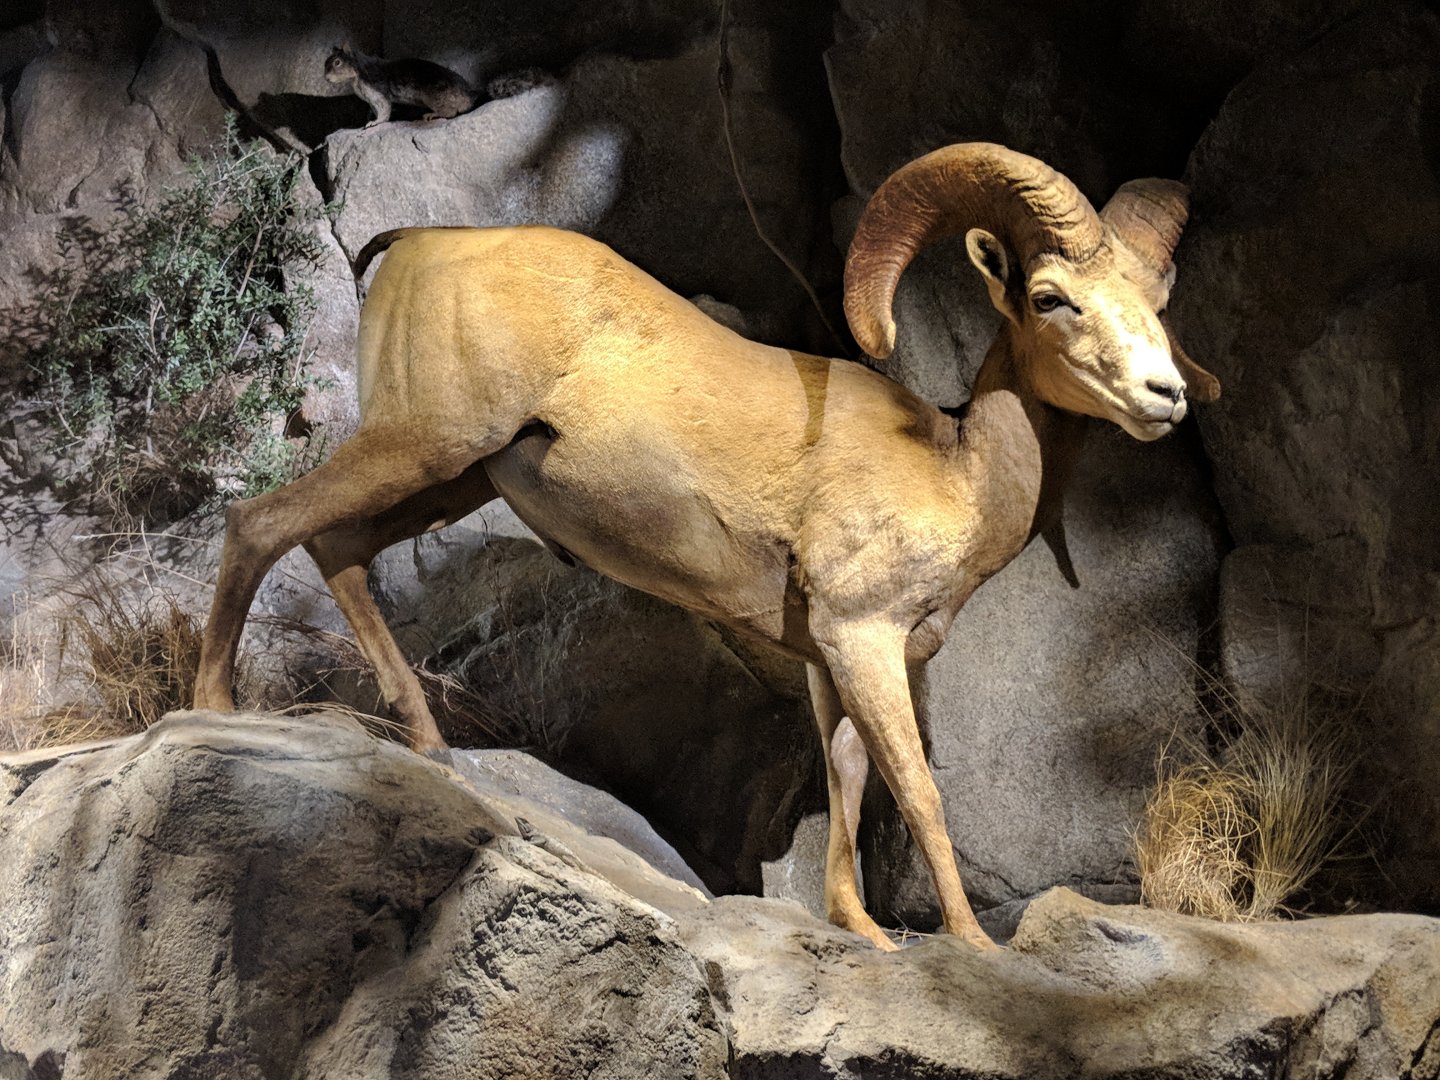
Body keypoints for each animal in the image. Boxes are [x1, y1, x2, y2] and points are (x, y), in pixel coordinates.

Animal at [193, 142, 1220, 951]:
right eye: (1051, 297)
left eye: (1157, 303)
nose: (1164, 395)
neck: (954, 472)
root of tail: (414, 243)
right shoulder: (864, 640)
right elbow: (915, 788)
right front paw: (974, 946)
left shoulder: (828, 661)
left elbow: (847, 779)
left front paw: (862, 932)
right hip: (423, 445)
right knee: (261, 524)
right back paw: (214, 710)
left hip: (452, 478)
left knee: (337, 547)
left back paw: (429, 745)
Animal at [323, 46, 478, 127]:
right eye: (325, 63)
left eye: (337, 62)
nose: (326, 78)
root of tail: (468, 95)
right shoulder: (370, 100)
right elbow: (376, 109)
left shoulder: (376, 91)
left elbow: (384, 108)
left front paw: (375, 122)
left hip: (436, 96)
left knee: (450, 111)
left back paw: (431, 114)